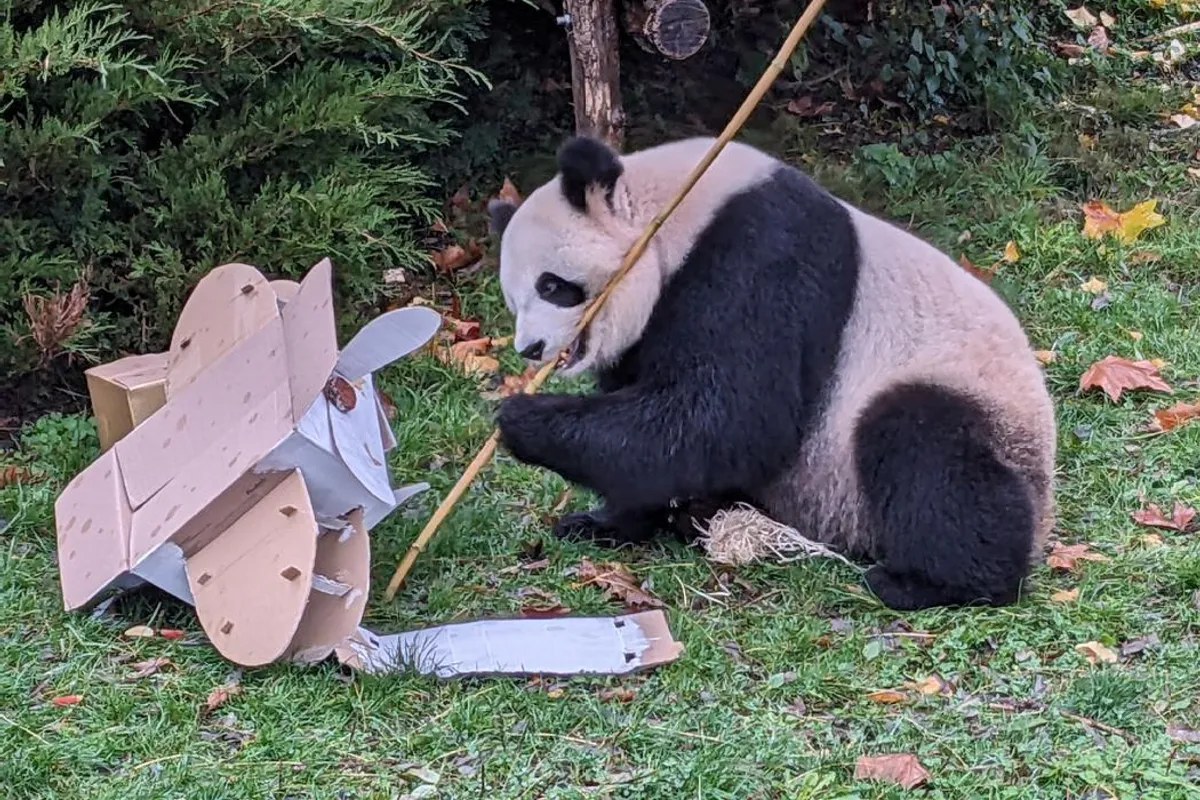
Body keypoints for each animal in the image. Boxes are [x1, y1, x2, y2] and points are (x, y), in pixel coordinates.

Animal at [487, 134, 1057, 611]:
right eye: (513, 301)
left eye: (553, 286)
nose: (530, 348)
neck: (671, 210)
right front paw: (604, 522)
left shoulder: (762, 251)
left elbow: (729, 415)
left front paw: (522, 419)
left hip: (964, 399)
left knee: (926, 448)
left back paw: (934, 583)